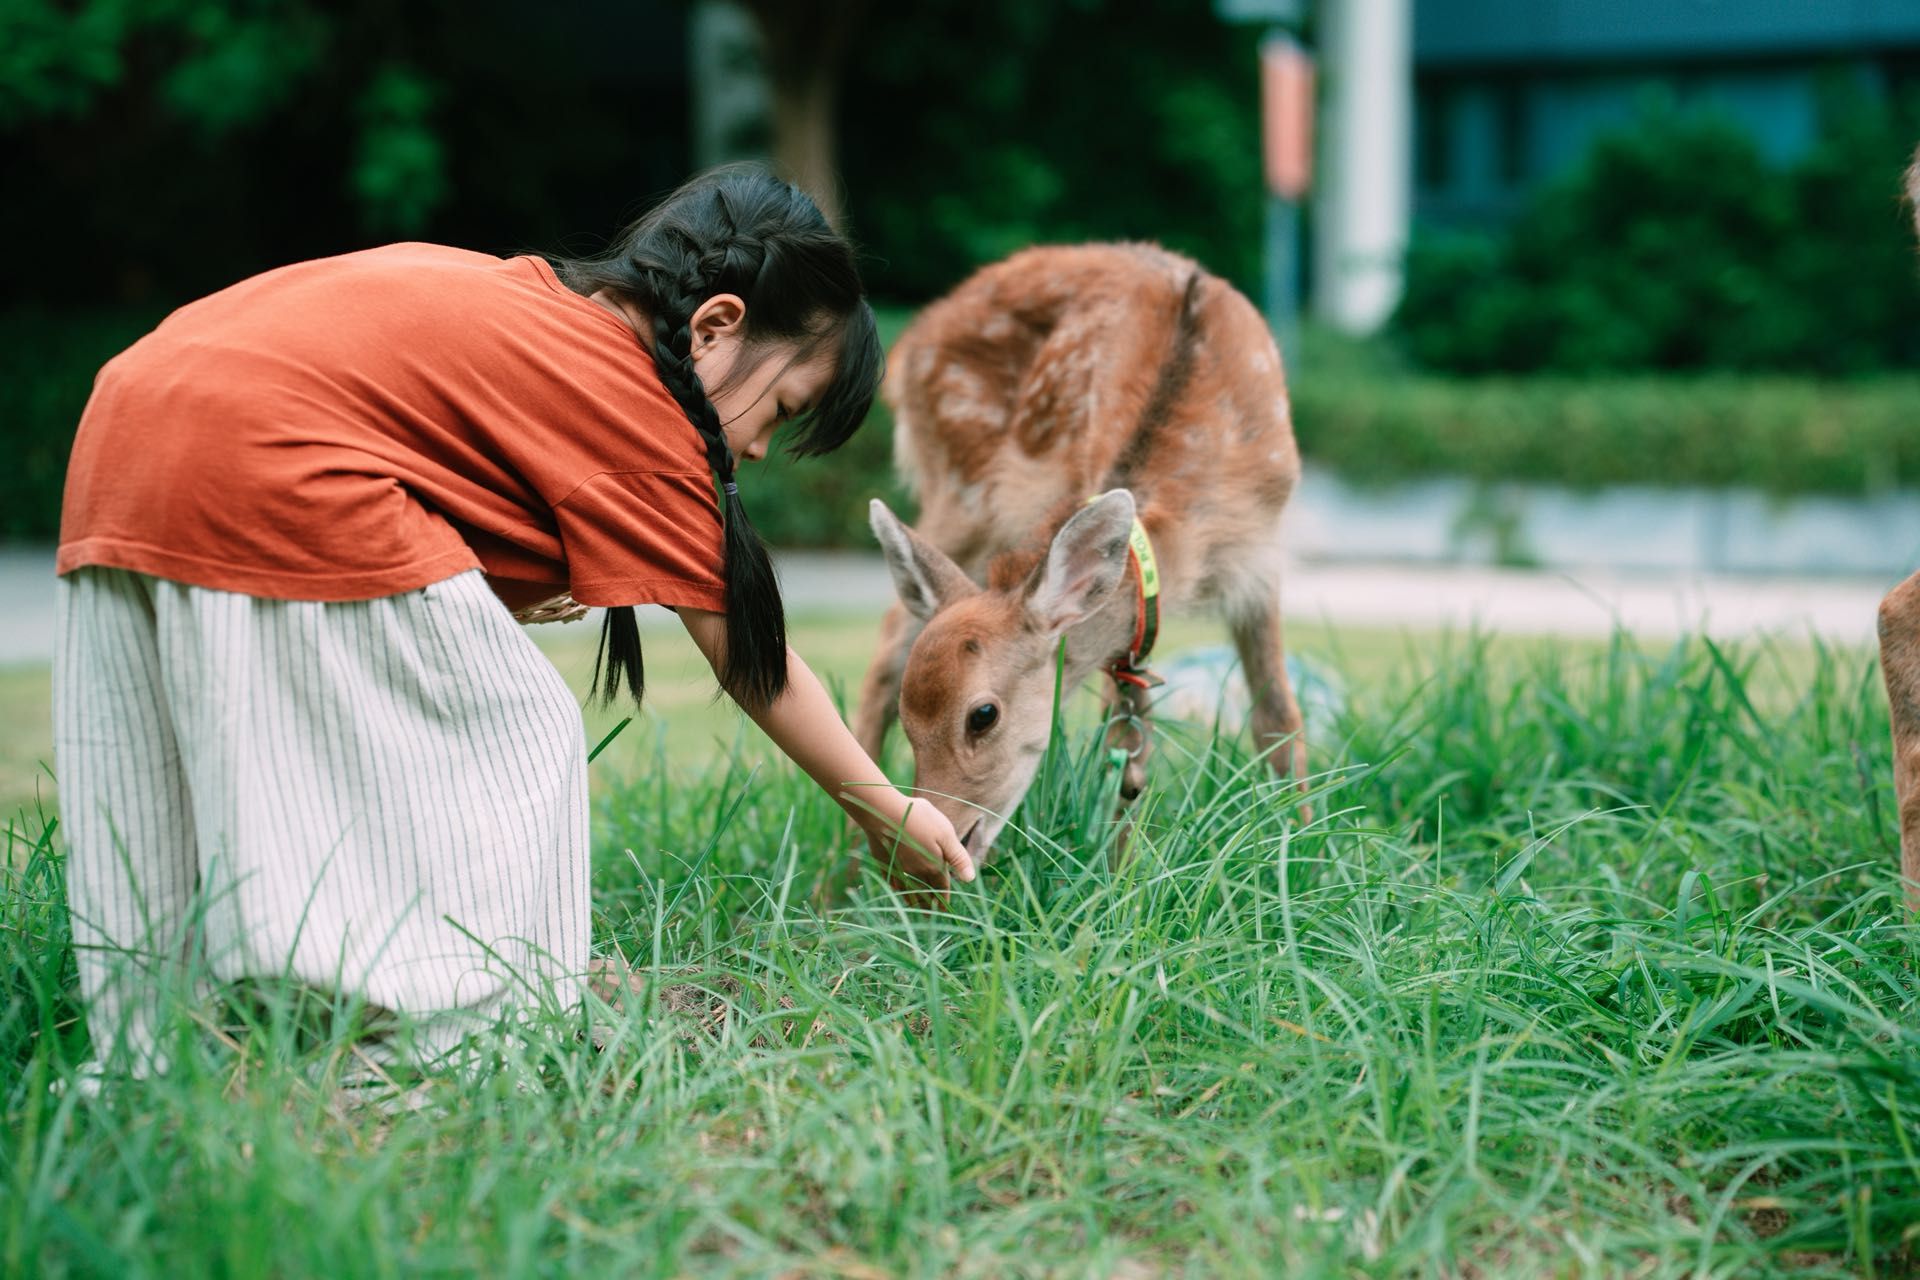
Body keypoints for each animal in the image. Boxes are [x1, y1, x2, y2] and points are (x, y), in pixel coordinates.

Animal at [850, 243, 1307, 884]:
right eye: (911, 723)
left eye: (982, 715)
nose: (926, 853)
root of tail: (911, 343)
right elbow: (1125, 744)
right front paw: (1121, 885)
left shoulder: (1260, 562)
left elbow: (1274, 720)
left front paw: (1307, 859)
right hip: (962, 494)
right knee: (891, 639)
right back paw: (837, 882)